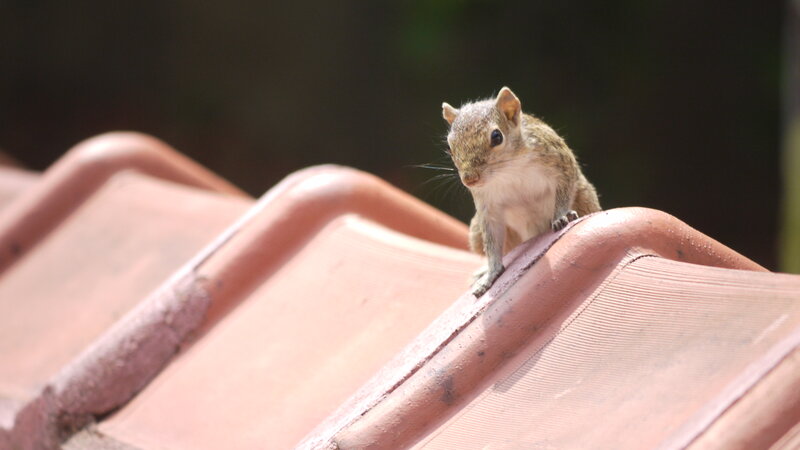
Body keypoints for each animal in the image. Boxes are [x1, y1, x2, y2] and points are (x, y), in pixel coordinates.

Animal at [441, 86, 601, 297]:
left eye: (497, 136)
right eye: (450, 147)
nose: (470, 179)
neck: (508, 169)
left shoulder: (558, 160)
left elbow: (564, 187)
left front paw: (561, 216)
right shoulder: (487, 204)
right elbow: (492, 242)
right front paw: (490, 273)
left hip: (585, 198)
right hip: (476, 232)